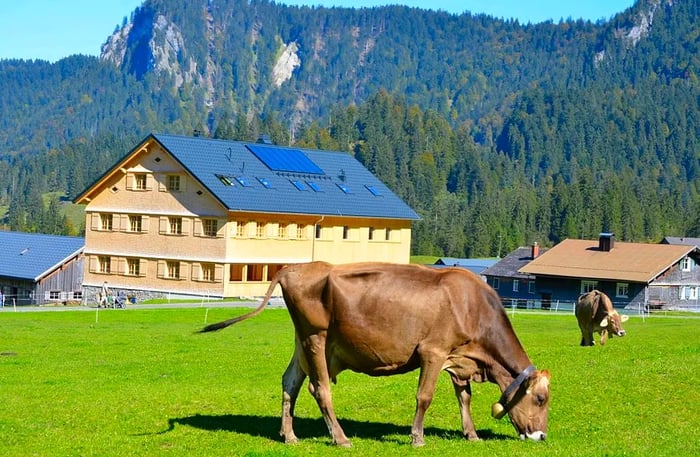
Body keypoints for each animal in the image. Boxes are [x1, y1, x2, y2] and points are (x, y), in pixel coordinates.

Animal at [201, 262, 552, 448]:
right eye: (540, 399)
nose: (541, 435)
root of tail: (295, 267)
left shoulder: (459, 357)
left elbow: (464, 397)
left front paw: (472, 434)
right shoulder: (433, 351)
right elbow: (425, 396)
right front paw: (417, 438)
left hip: (302, 341)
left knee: (290, 383)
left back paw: (289, 435)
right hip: (317, 338)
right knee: (320, 388)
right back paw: (340, 438)